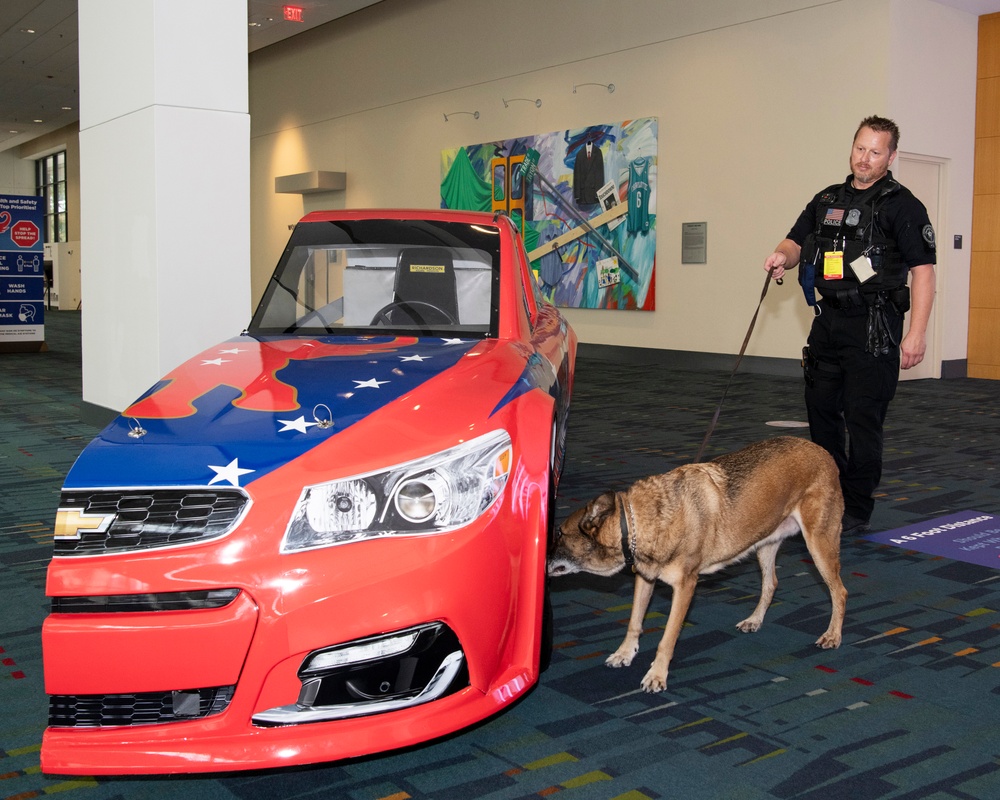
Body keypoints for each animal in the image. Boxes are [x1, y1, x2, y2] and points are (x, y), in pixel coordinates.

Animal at [548, 434, 844, 692]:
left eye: (559, 533)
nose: (544, 560)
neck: (640, 521)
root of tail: (821, 450)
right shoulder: (645, 578)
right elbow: (634, 621)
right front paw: (625, 653)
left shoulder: (685, 587)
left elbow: (667, 638)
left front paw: (657, 675)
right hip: (764, 543)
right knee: (771, 583)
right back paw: (754, 620)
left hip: (819, 545)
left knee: (839, 592)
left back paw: (833, 636)